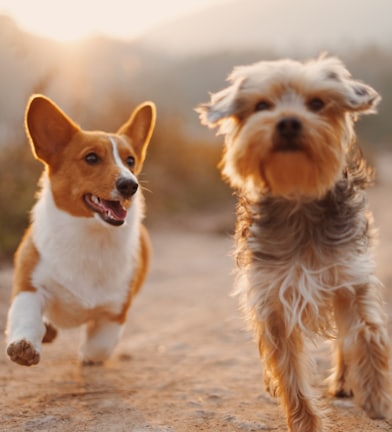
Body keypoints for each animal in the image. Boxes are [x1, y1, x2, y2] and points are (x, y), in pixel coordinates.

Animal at [5, 94, 156, 364]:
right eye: (91, 158)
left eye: (130, 161)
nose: (130, 185)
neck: (90, 235)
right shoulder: (30, 286)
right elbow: (26, 317)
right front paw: (24, 345)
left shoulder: (114, 312)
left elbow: (99, 346)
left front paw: (88, 356)